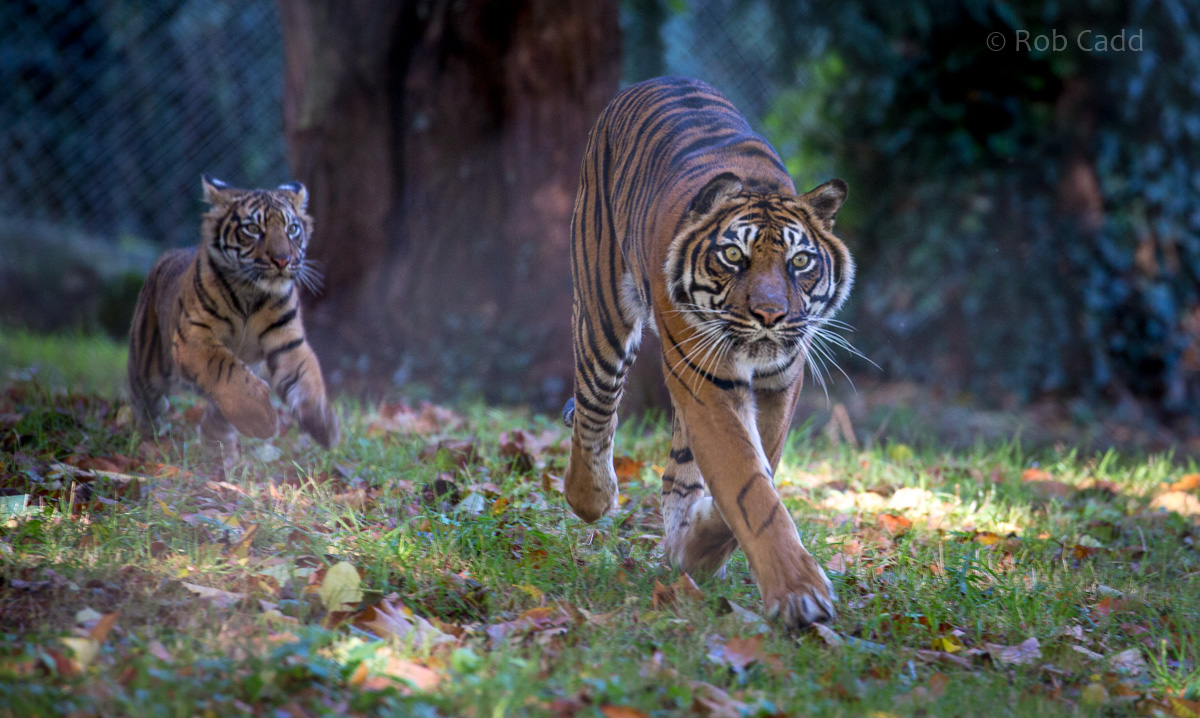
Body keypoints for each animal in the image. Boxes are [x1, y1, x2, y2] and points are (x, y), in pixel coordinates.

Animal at [127, 175, 338, 462]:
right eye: (253, 229)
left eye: (292, 229)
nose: (283, 260)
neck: (252, 293)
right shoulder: (193, 336)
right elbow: (225, 370)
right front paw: (263, 420)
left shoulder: (288, 342)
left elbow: (307, 380)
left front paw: (323, 424)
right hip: (146, 371)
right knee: (145, 405)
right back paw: (147, 441)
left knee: (214, 421)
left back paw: (221, 460)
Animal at [562, 77, 854, 628]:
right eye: (733, 256)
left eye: (800, 261)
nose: (770, 315)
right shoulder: (707, 380)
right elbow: (746, 480)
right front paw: (799, 593)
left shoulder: (780, 383)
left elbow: (755, 470)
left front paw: (699, 548)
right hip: (602, 315)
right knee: (594, 408)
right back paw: (590, 498)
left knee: (678, 469)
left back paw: (683, 545)